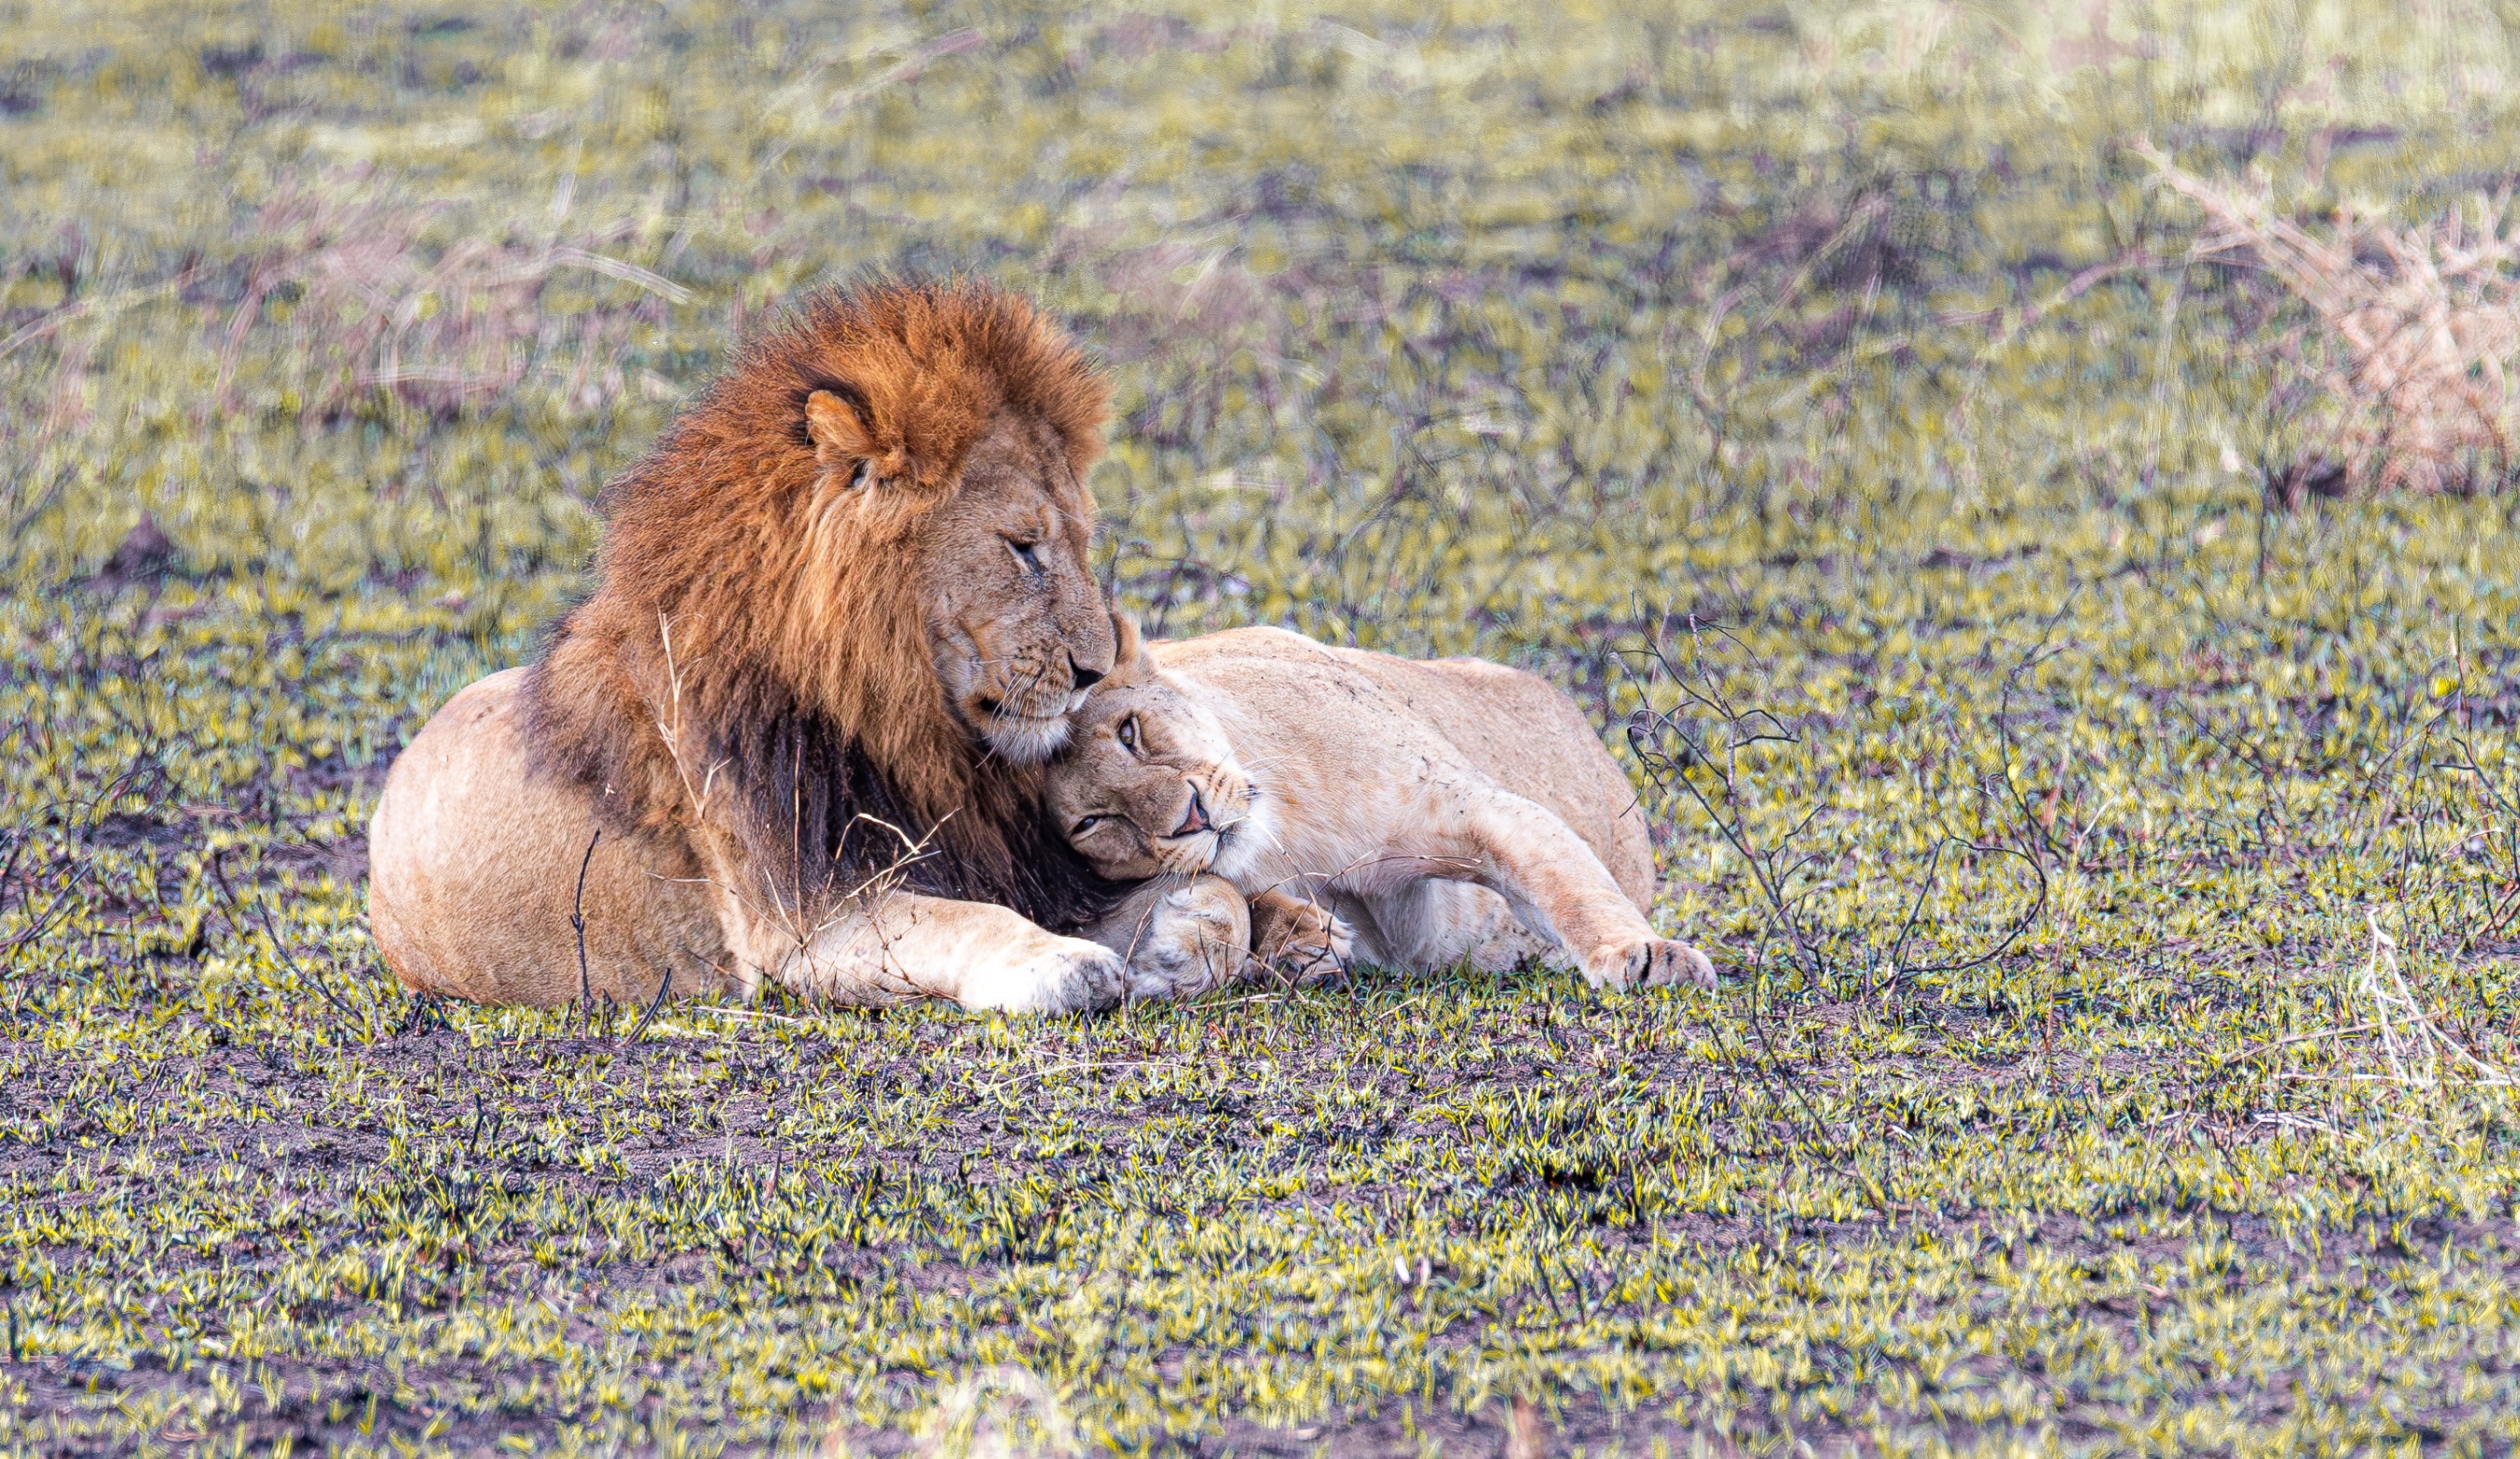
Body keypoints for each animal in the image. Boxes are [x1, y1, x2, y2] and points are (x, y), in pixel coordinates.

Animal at [368, 279, 1237, 1013]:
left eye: (1082, 540)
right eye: (1021, 547)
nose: (1095, 670)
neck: (906, 730)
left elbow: (1211, 889)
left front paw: (1186, 934)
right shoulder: (797, 920)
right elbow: (967, 919)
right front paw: (1060, 963)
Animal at [1042, 619, 1719, 992]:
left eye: (1129, 732)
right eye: (1095, 822)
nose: (1191, 820)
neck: (1284, 834)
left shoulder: (1454, 828)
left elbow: (1569, 885)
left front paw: (1646, 957)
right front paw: (1289, 937)